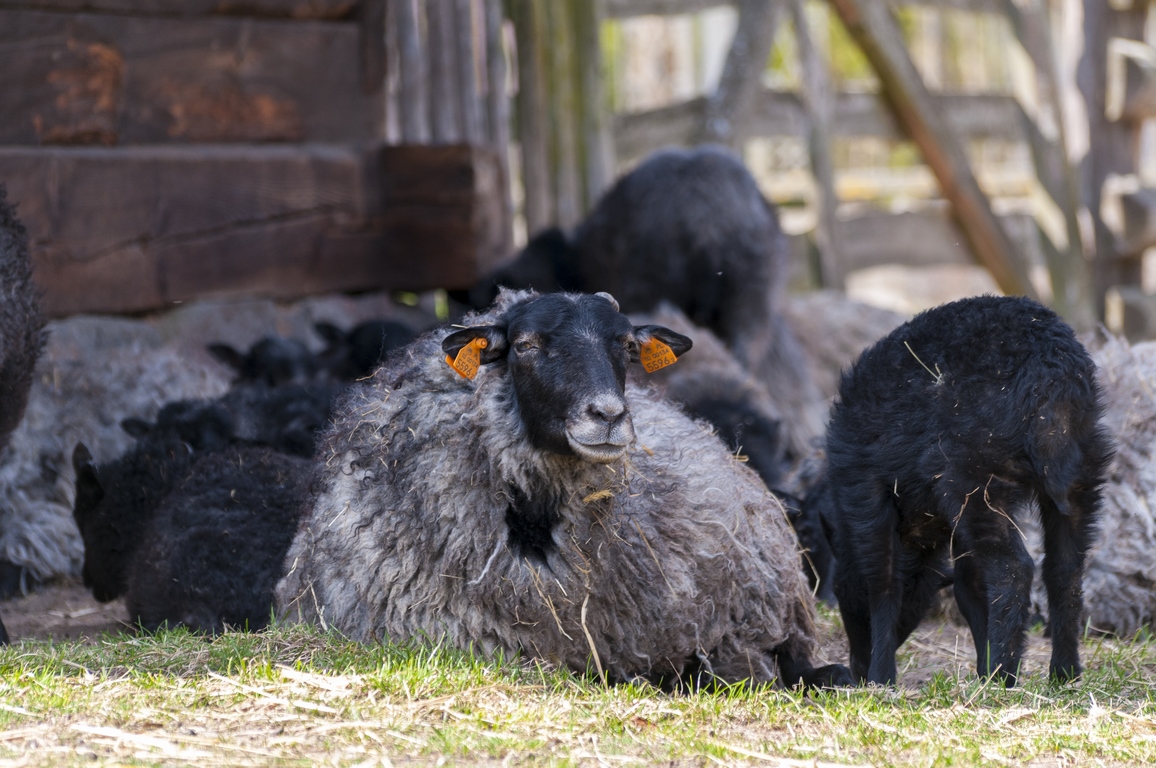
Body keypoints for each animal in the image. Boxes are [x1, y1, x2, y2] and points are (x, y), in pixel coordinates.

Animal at [825, 295, 1112, 686]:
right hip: (1082, 473)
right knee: (1064, 570)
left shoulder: (867, 493)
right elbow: (968, 587)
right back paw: (1062, 672)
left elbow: (883, 583)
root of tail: (1052, 368)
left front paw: (881, 677)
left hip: (976, 479)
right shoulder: (953, 525)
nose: (856, 668)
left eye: (841, 591)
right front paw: (982, 665)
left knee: (1014, 570)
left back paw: (1005, 672)